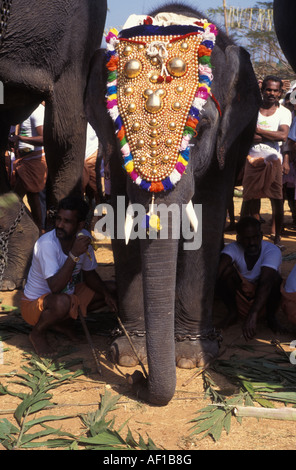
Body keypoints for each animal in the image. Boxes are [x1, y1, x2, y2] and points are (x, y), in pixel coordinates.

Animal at [86, 1, 262, 406]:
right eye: (121, 131)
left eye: (199, 130)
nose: (138, 377)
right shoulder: (112, 154)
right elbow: (123, 219)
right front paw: (128, 354)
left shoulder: (225, 144)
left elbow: (207, 220)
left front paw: (193, 358)